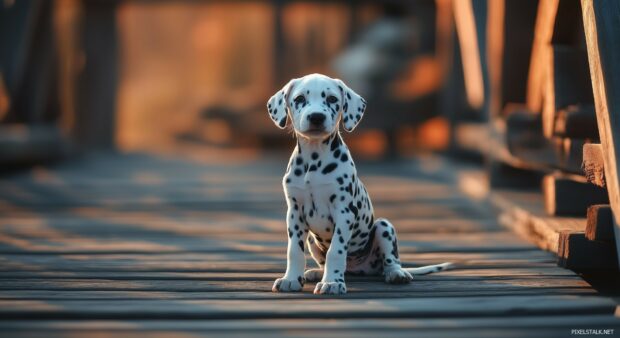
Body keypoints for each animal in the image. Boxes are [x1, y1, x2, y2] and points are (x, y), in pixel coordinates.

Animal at [266, 72, 450, 294]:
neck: (314, 159)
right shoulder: (294, 213)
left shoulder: (344, 211)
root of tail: (358, 268)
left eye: (332, 99)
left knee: (390, 261)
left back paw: (396, 274)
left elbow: (336, 250)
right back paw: (317, 272)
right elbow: (294, 250)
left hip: (384, 227)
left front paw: (332, 282)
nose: (317, 117)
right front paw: (291, 278)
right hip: (312, 238)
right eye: (300, 98)